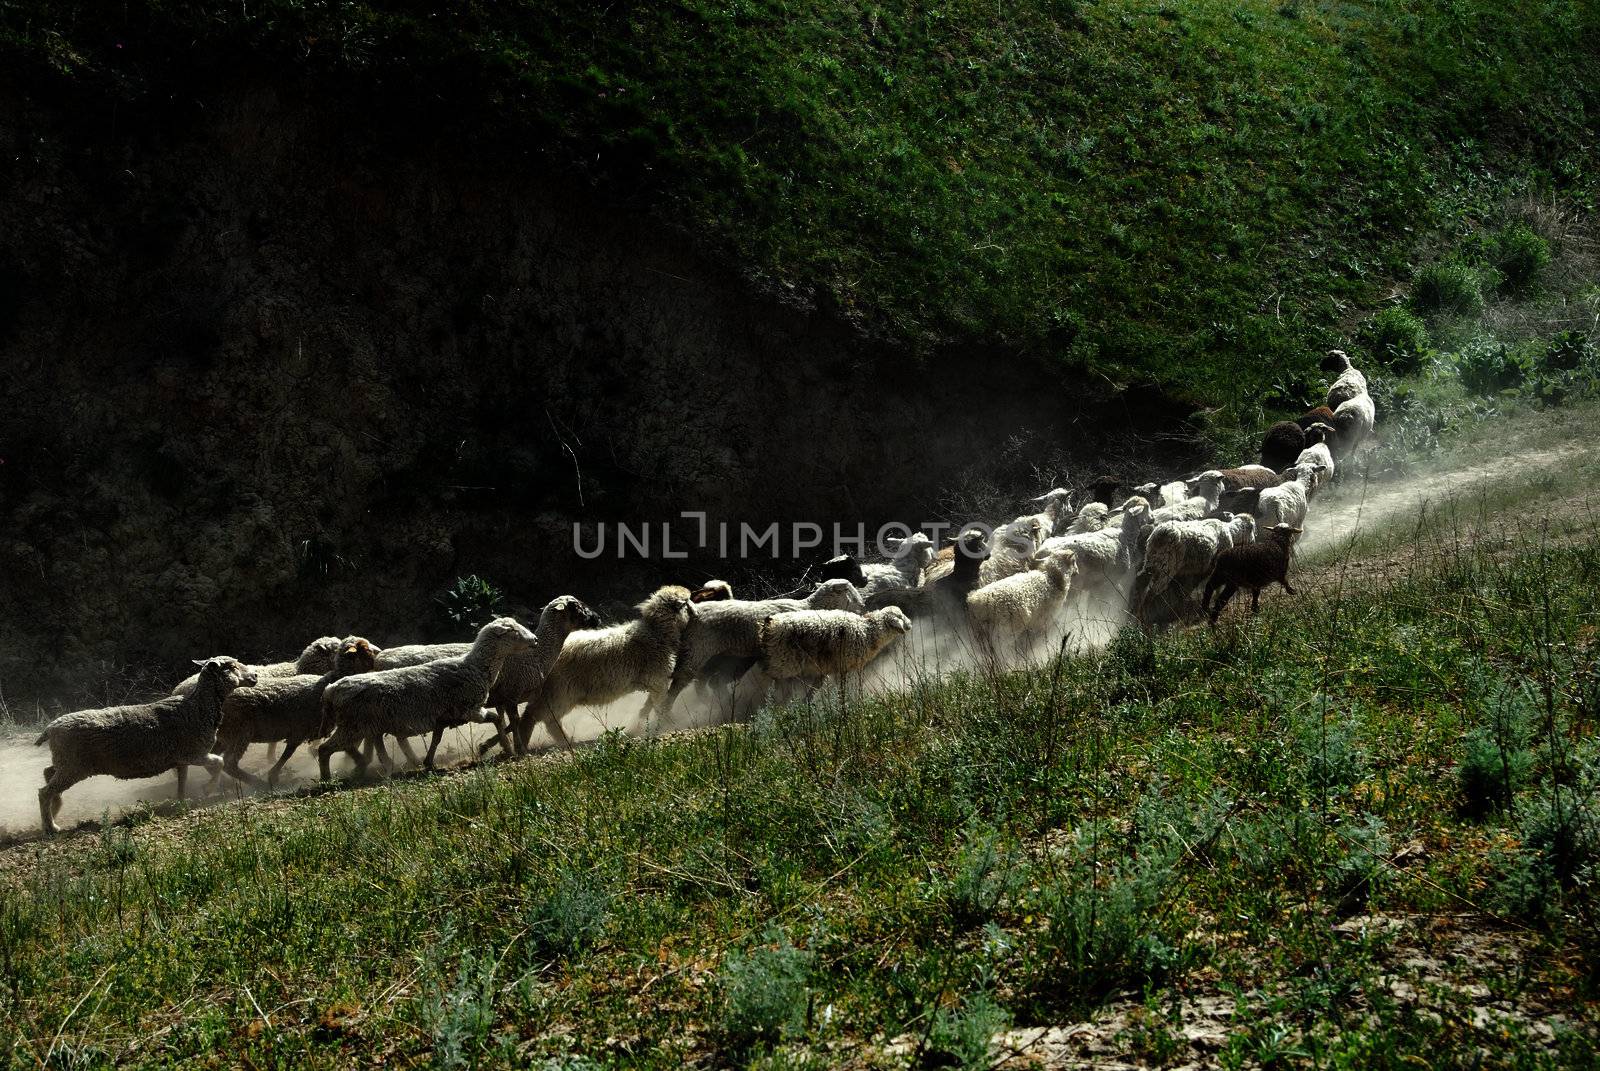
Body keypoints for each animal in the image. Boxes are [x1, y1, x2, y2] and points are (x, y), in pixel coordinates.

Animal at [36, 653, 256, 832]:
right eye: (233, 666)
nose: (254, 676)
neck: (197, 708)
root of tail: (51, 728)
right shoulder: (194, 754)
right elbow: (219, 763)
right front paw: (208, 789)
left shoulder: (180, 759)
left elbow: (182, 782)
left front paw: (181, 802)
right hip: (73, 766)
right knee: (44, 792)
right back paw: (51, 826)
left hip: (66, 762)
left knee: (48, 772)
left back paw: (56, 807)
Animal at [318, 614, 537, 771]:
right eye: (513, 631)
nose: (535, 640)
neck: (475, 667)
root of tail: (331, 690)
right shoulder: (470, 710)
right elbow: (497, 719)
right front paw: (507, 748)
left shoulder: (443, 716)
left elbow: (436, 739)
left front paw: (428, 762)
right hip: (353, 726)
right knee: (324, 749)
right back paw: (327, 780)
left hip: (369, 725)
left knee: (374, 745)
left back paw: (388, 767)